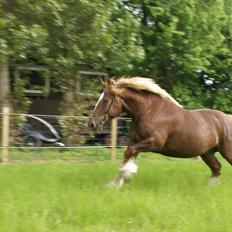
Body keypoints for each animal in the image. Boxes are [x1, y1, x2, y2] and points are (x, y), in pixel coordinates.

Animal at [87, 77, 232, 188]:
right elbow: (129, 154)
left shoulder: (154, 143)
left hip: (226, 152)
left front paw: (121, 179)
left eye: (105, 100)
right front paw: (117, 182)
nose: (91, 123)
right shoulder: (136, 141)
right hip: (207, 153)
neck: (148, 111)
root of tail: (228, 118)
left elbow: (128, 152)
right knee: (217, 168)